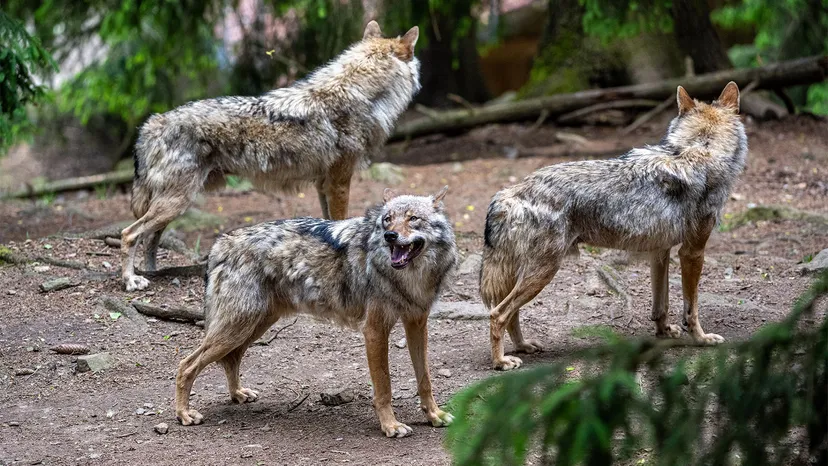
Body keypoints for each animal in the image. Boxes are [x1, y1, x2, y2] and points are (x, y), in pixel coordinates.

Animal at [121, 21, 421, 291]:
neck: (358, 94)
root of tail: (153, 123)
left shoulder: (322, 184)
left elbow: (327, 225)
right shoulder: (339, 182)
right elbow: (339, 223)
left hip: (172, 205)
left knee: (149, 240)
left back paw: (153, 272)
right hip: (175, 203)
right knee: (129, 234)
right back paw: (132, 280)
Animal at [174, 187, 458, 438]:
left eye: (413, 218)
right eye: (387, 219)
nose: (389, 235)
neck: (410, 278)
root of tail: (219, 243)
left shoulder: (417, 324)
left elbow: (425, 379)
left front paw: (434, 416)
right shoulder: (375, 331)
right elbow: (384, 387)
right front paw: (391, 426)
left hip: (253, 326)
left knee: (231, 359)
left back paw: (238, 394)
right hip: (237, 328)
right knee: (186, 365)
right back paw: (184, 414)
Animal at [480, 82, 747, 370]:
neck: (700, 149)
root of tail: (509, 193)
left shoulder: (660, 252)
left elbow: (660, 306)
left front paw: (664, 333)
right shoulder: (692, 252)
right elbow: (691, 308)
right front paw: (701, 339)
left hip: (529, 273)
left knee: (511, 313)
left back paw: (523, 347)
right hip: (543, 272)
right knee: (498, 314)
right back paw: (501, 362)